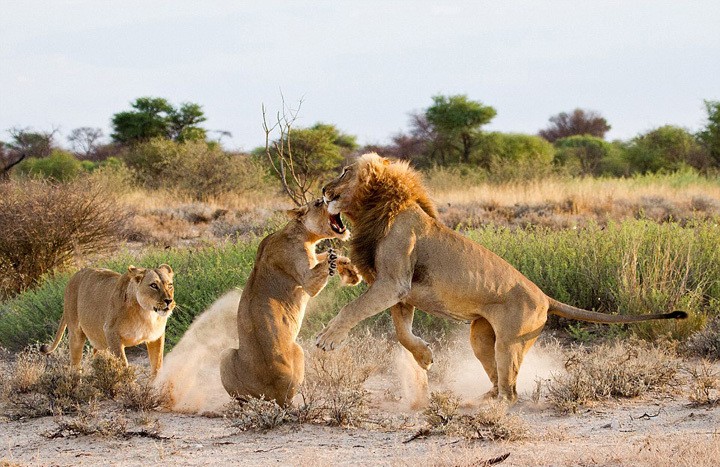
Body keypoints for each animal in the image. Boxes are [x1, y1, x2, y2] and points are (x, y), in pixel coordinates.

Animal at [318, 153, 688, 402]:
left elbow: (353, 309)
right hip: (481, 337)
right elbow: (401, 333)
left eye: (345, 171)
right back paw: (477, 400)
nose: (323, 190)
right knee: (498, 382)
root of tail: (545, 297)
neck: (374, 207)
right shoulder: (401, 292)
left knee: (510, 392)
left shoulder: (393, 282)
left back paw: (485, 409)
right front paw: (424, 357)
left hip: (510, 343)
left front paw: (327, 339)